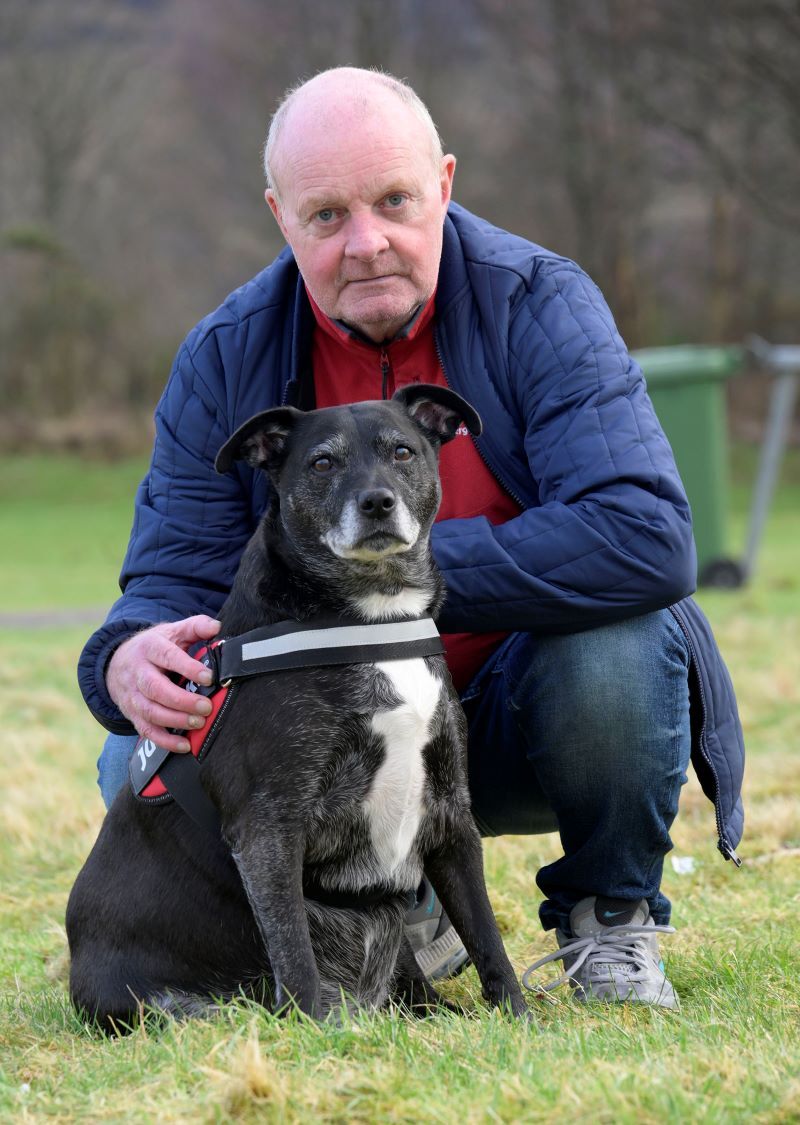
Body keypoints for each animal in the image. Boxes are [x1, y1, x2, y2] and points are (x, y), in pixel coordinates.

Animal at [65, 384, 528, 1030]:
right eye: (322, 463)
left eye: (403, 452)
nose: (377, 502)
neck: (371, 618)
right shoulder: (269, 828)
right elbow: (292, 945)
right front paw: (313, 1032)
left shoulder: (450, 815)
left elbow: (486, 934)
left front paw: (519, 1017)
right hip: (173, 1008)